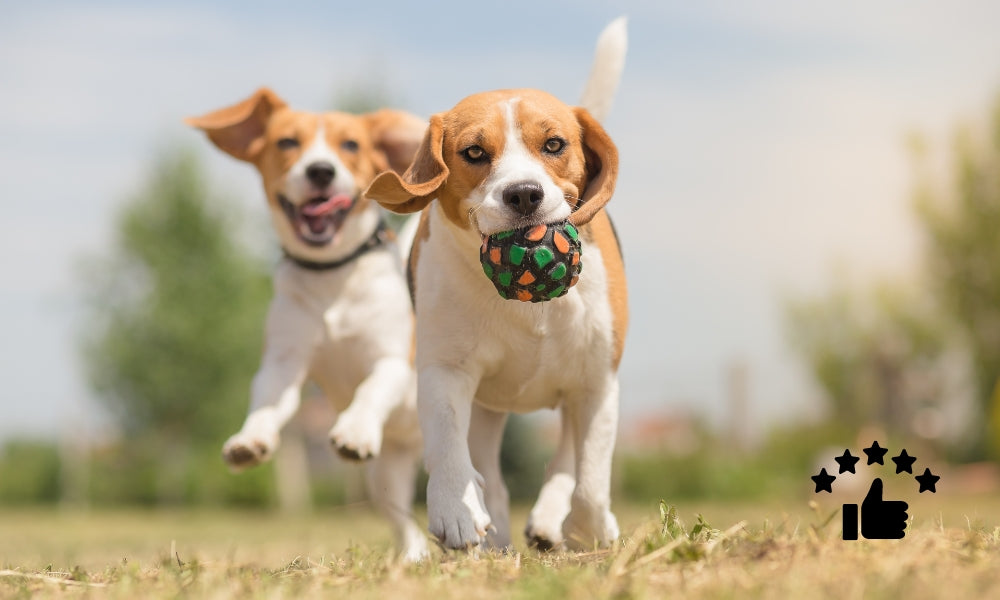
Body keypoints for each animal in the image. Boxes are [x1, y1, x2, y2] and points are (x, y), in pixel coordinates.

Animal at [186, 91, 428, 560]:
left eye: (350, 145)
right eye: (286, 142)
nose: (320, 171)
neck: (330, 276)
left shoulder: (394, 360)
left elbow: (372, 388)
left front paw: (354, 428)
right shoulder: (283, 362)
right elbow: (266, 402)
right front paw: (250, 440)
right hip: (385, 473)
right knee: (405, 518)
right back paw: (416, 554)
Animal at [368, 19, 624, 552]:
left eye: (554, 145)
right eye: (474, 152)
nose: (523, 194)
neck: (526, 306)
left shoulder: (598, 379)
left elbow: (590, 482)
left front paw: (589, 531)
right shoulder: (445, 369)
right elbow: (447, 443)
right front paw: (457, 509)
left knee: (566, 460)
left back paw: (549, 518)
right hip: (486, 409)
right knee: (490, 469)